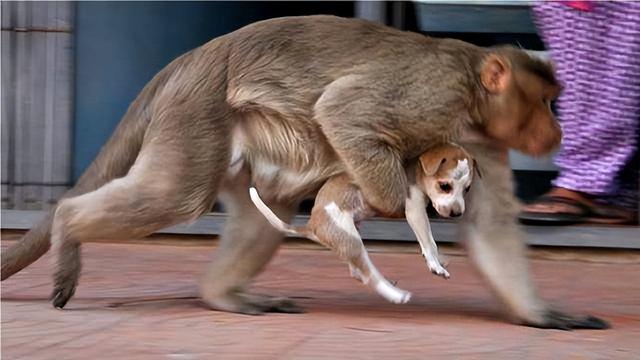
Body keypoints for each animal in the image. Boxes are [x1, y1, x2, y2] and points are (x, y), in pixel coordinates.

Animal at [249, 143, 476, 304]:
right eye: (445, 186)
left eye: (467, 189)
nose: (457, 213)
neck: (416, 169)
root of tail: (312, 224)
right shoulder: (415, 210)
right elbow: (429, 242)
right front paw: (435, 265)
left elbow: (431, 242)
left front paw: (440, 260)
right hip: (351, 239)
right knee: (368, 276)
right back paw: (396, 295)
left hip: (351, 236)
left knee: (357, 271)